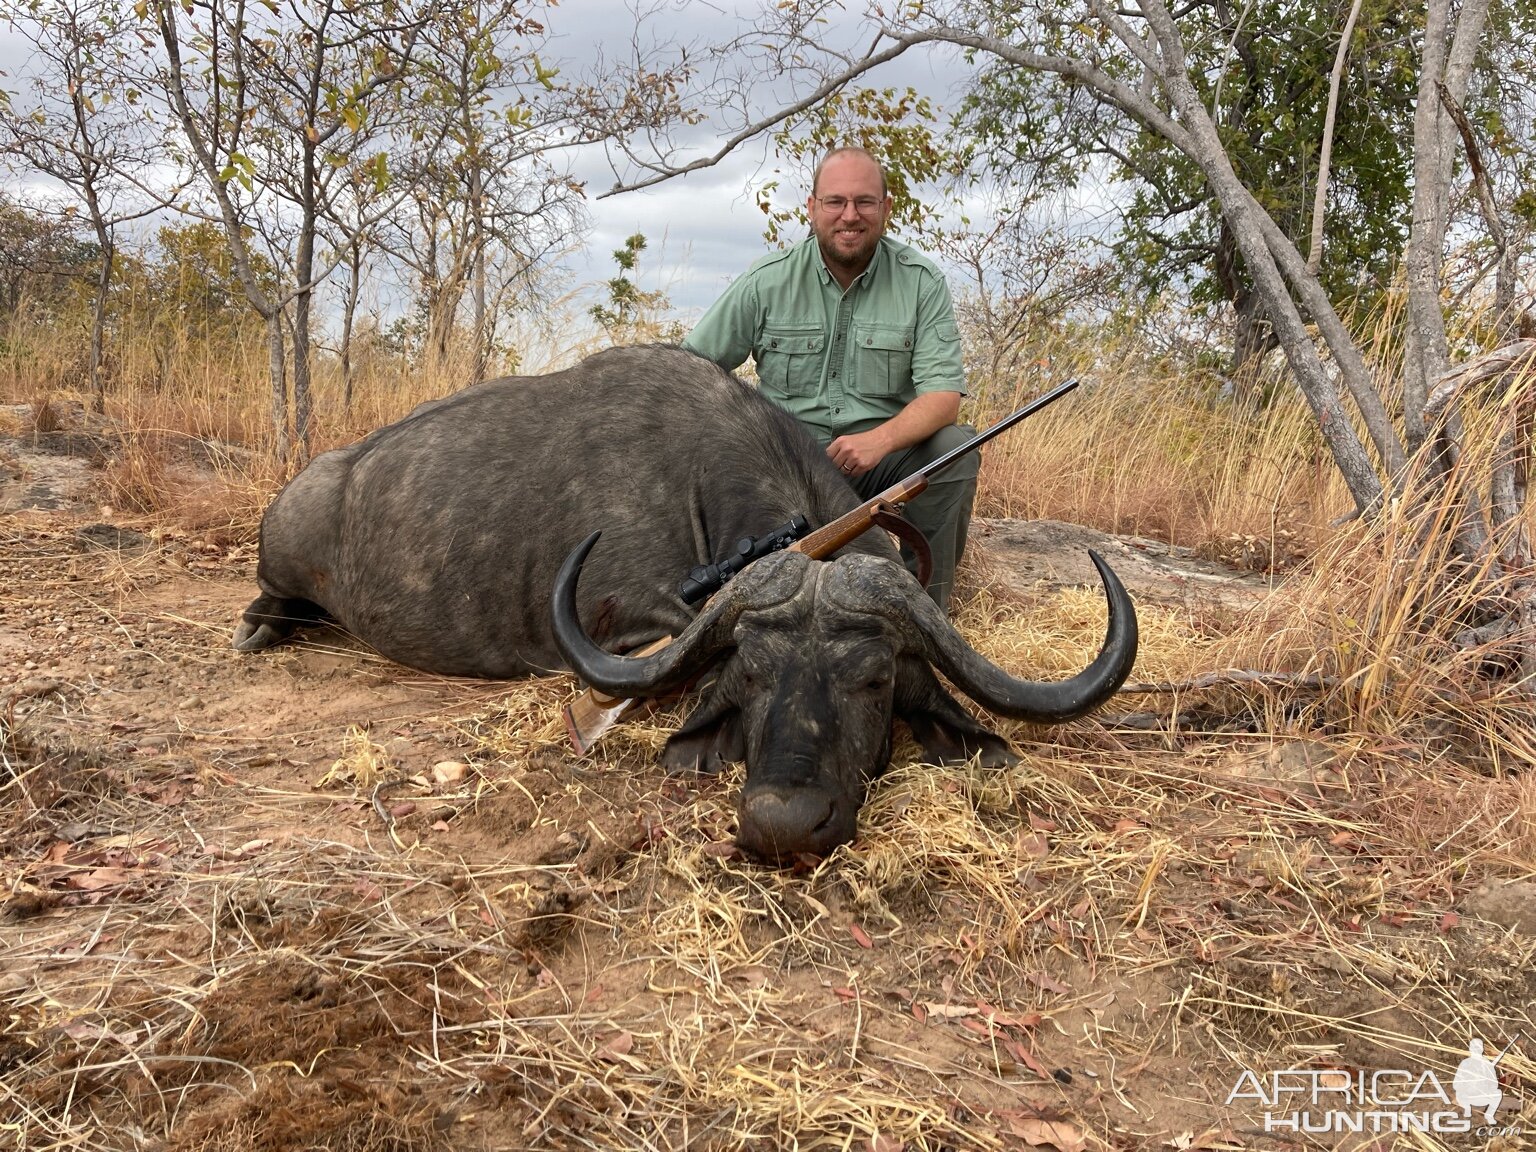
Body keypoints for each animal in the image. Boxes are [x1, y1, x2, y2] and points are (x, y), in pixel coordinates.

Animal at [233, 347, 1136, 860]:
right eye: (755, 673)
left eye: (875, 681)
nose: (781, 823)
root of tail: (323, 477)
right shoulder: (629, 616)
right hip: (282, 565)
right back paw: (257, 630)